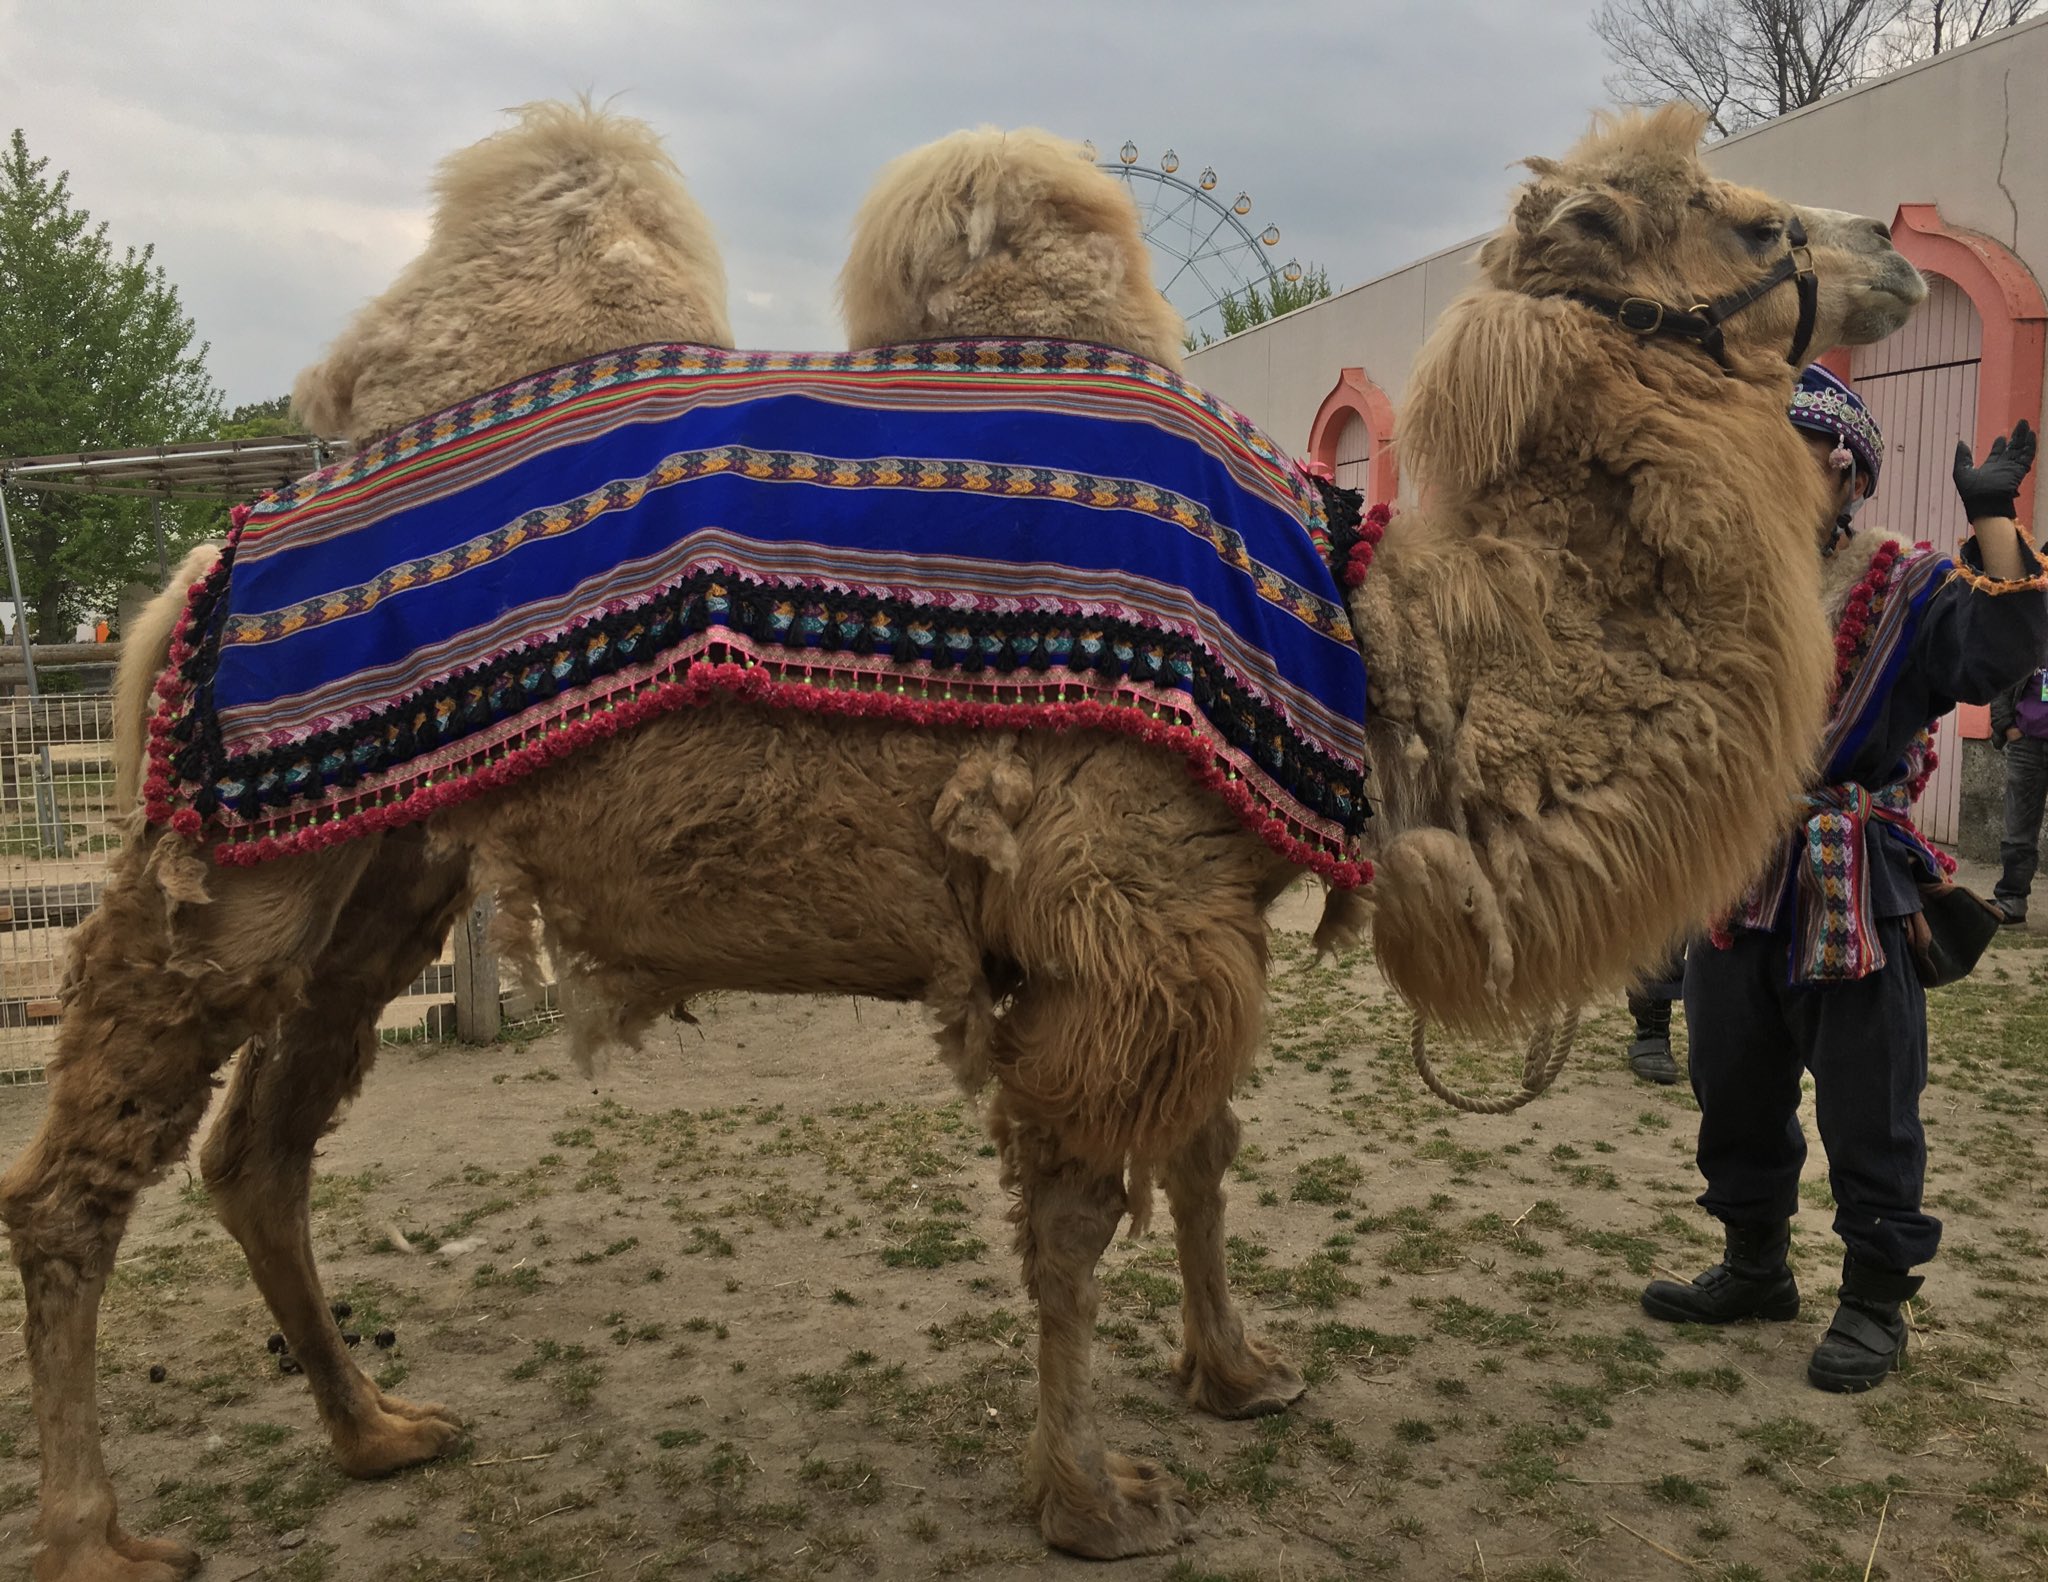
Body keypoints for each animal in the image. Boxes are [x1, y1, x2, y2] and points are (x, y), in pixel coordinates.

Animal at [0, 101, 1926, 1579]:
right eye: (1748, 217)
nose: (1898, 243)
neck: (1362, 626)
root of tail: (196, 562)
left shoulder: (1194, 905)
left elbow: (1202, 1158)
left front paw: (1238, 1373)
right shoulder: (1129, 904)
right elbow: (1076, 1207)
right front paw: (1094, 1497)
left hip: (387, 864)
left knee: (258, 1150)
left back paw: (379, 1428)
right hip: (229, 864)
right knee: (77, 1176)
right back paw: (102, 1531)